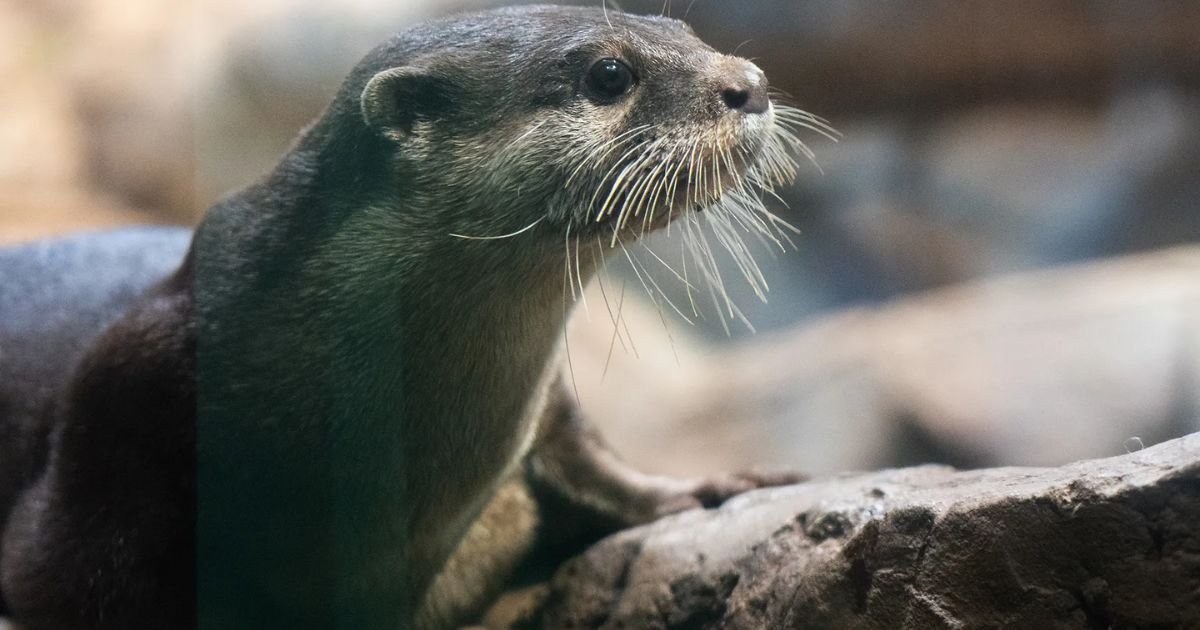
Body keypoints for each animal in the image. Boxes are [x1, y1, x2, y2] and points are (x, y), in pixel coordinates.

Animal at [0, 5, 823, 629]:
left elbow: (591, 458)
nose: (749, 84)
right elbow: (58, 573)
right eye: (609, 74)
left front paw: (706, 487)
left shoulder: (542, 409)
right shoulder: (121, 404)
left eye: (683, 27)